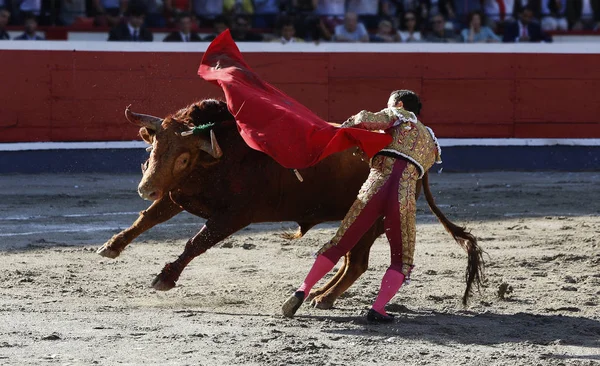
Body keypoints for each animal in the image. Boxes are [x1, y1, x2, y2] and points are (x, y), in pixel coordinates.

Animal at [96, 98, 486, 308]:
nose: (145, 187)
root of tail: (420, 167)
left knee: (356, 262)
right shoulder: (178, 194)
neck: (224, 155)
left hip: (372, 219)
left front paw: (165, 277)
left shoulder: (233, 216)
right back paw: (320, 296)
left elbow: (196, 242)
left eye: (183, 157)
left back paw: (322, 298)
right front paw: (111, 246)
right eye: (154, 147)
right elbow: (147, 218)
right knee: (351, 261)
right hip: (360, 220)